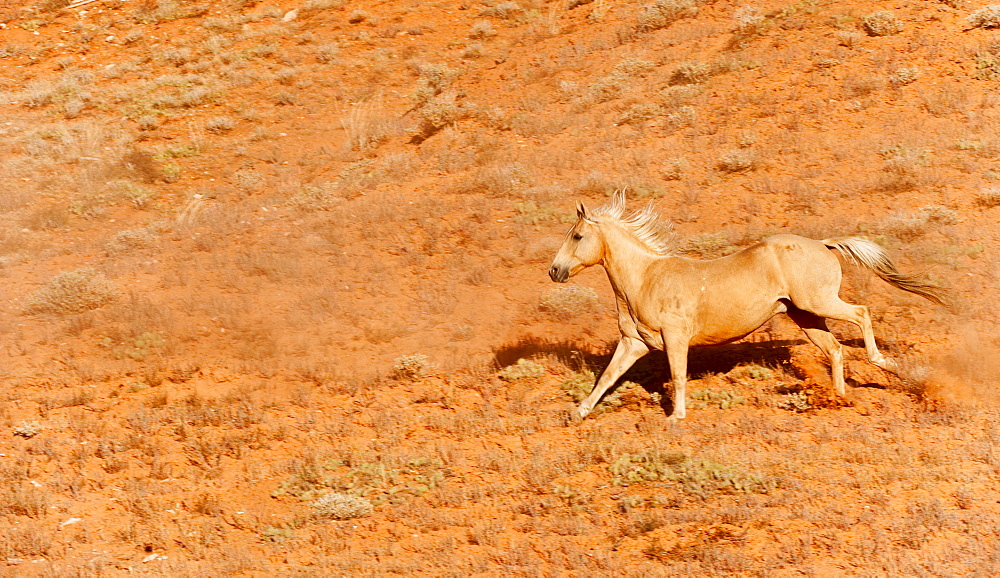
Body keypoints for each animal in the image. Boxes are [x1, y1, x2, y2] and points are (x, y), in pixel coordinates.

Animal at [548, 189, 944, 418]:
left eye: (578, 236)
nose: (554, 271)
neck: (645, 278)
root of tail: (823, 244)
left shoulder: (675, 338)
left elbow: (677, 376)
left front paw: (677, 418)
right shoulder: (634, 342)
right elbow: (607, 377)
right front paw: (578, 412)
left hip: (819, 303)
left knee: (861, 314)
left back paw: (883, 364)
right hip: (806, 316)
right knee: (834, 349)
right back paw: (839, 398)